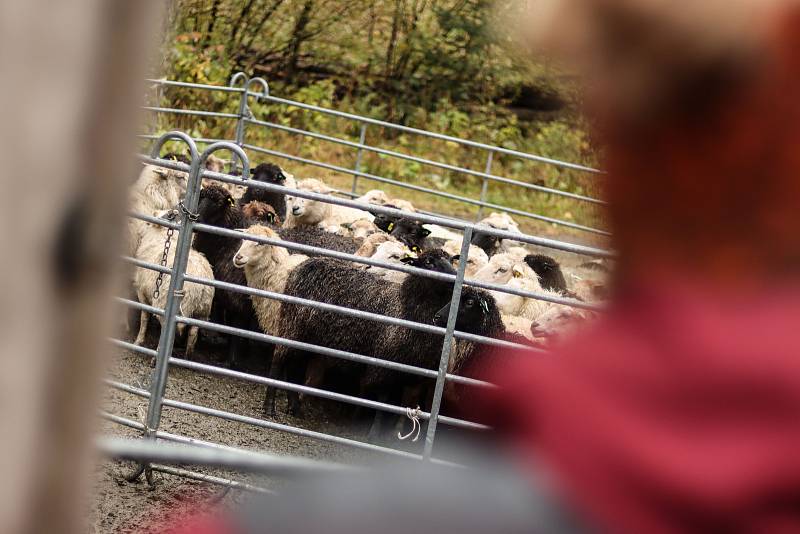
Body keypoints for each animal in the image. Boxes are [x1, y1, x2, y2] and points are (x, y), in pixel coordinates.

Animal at [134, 216, 216, 358]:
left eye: (148, 223)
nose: (138, 230)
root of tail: (198, 286)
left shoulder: (141, 292)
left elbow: (144, 317)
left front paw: (139, 340)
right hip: (202, 310)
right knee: (193, 333)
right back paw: (188, 356)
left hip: (166, 304)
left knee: (168, 329)